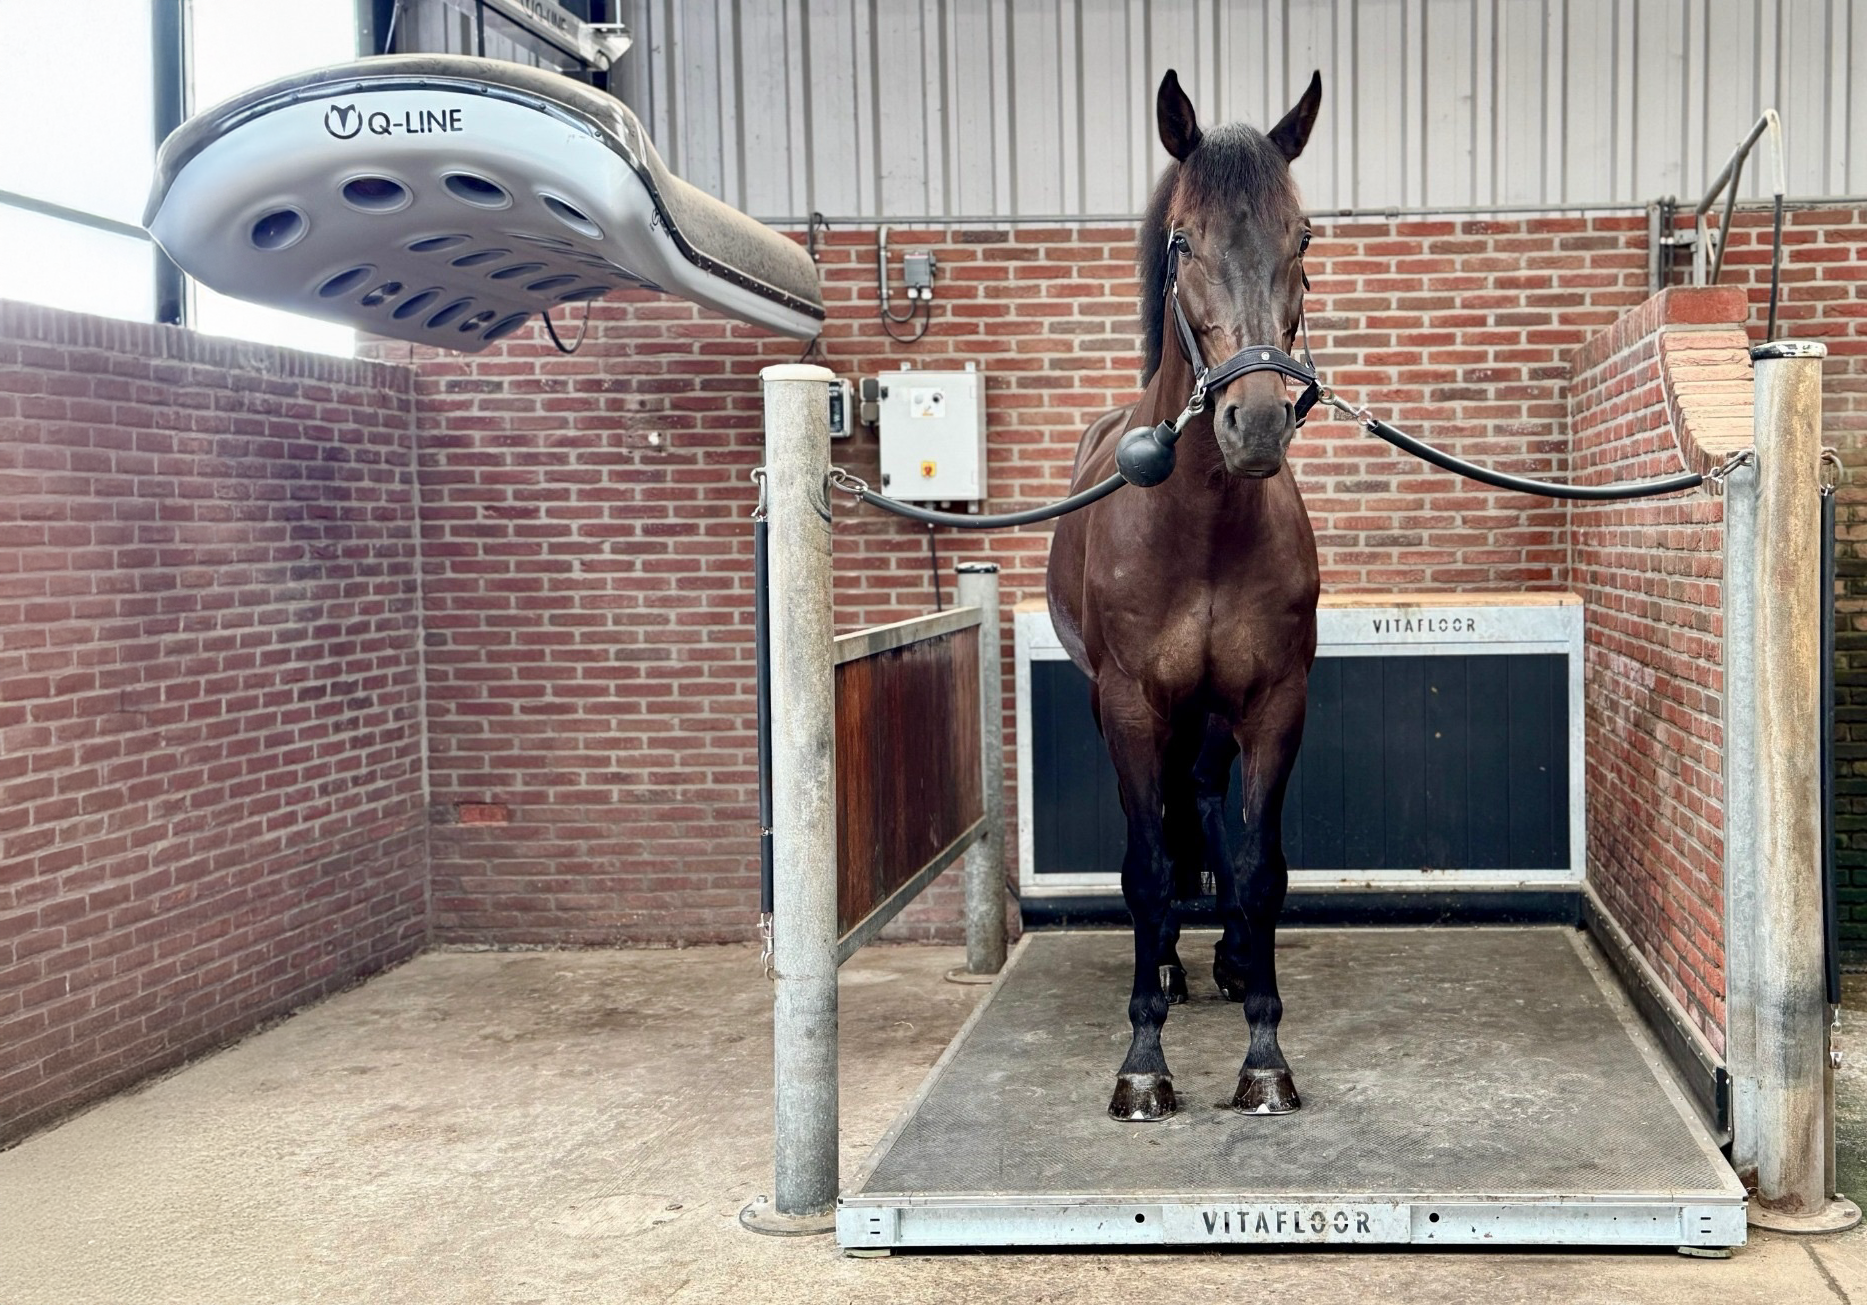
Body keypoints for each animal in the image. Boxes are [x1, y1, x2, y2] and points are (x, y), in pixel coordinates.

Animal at [1046, 68, 1323, 1123]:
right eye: (1181, 241)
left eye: (1302, 237)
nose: (1257, 422)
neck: (1198, 524)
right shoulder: (1130, 703)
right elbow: (1146, 870)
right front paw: (1142, 1061)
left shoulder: (1274, 703)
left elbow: (1258, 866)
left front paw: (1264, 1054)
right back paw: (1165, 968)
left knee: (1203, 800)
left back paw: (1230, 960)